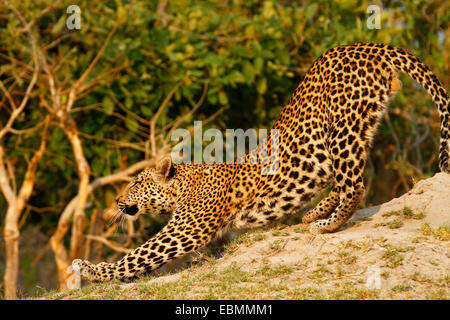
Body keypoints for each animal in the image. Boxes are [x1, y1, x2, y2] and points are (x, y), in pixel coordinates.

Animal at [72, 42, 448, 282]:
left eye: (137, 182)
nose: (117, 200)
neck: (184, 184)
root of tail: (367, 45)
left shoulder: (185, 230)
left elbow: (137, 256)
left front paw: (89, 269)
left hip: (343, 125)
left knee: (354, 184)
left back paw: (326, 224)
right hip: (357, 127)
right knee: (347, 177)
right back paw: (315, 213)